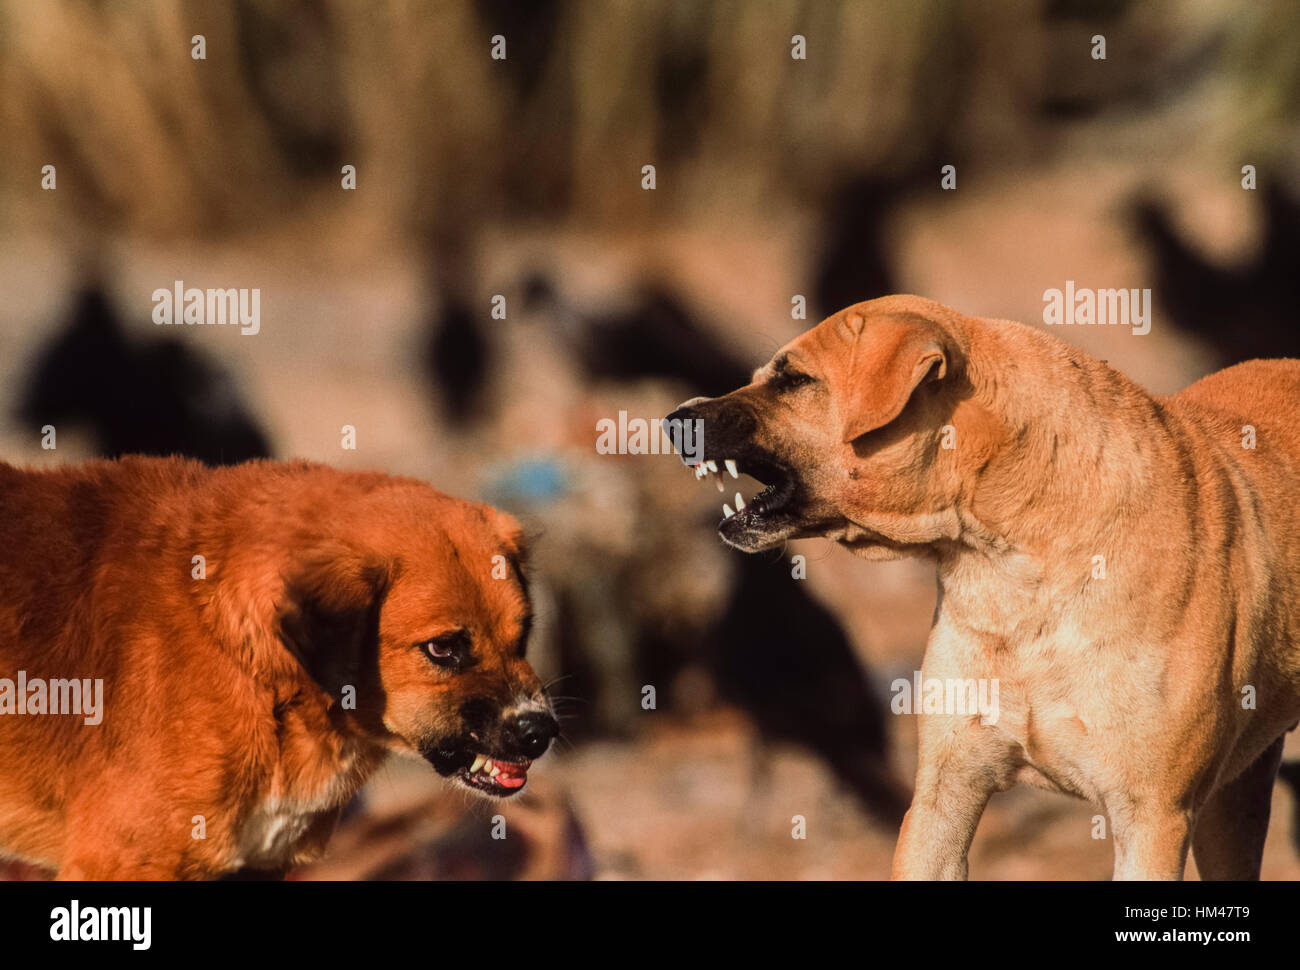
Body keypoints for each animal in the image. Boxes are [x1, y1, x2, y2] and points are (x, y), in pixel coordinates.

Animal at [665, 292, 1300, 878]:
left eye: (794, 380)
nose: (674, 420)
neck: (1013, 569)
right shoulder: (945, 794)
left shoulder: (1152, 818)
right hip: (1234, 800)